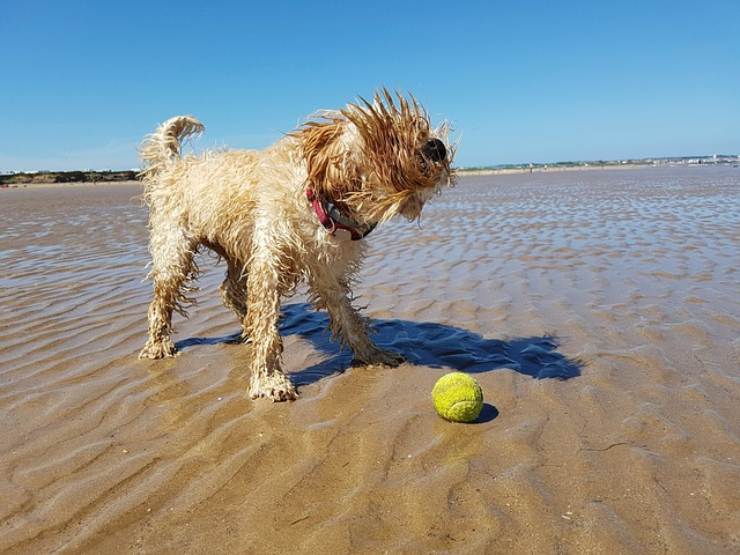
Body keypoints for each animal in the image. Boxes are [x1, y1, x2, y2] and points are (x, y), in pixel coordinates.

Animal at [136, 93, 454, 402]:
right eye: (390, 135)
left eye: (418, 125)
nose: (437, 145)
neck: (322, 205)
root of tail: (175, 167)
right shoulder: (269, 262)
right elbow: (267, 323)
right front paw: (269, 379)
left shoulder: (326, 271)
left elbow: (348, 317)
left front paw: (372, 354)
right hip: (176, 252)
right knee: (161, 300)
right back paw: (158, 344)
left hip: (238, 247)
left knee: (228, 289)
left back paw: (245, 324)